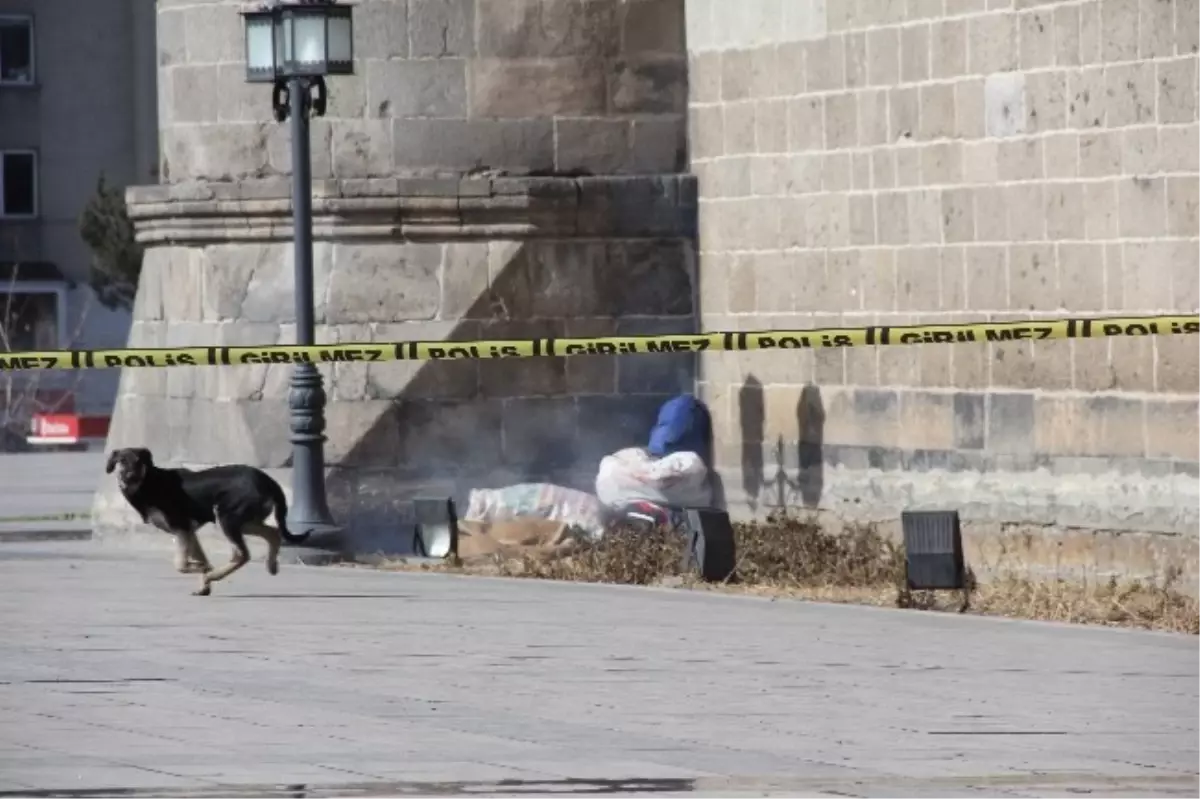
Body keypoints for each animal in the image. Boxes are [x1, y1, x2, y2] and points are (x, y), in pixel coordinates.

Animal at [106, 448, 309, 590]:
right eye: (121, 461)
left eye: (138, 461)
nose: (129, 476)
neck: (149, 483)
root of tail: (268, 481)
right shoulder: (189, 532)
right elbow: (200, 558)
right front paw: (204, 582)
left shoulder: (181, 527)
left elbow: (181, 565)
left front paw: (204, 572)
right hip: (244, 521)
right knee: (273, 533)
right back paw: (271, 565)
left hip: (227, 517)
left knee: (242, 554)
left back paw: (216, 575)